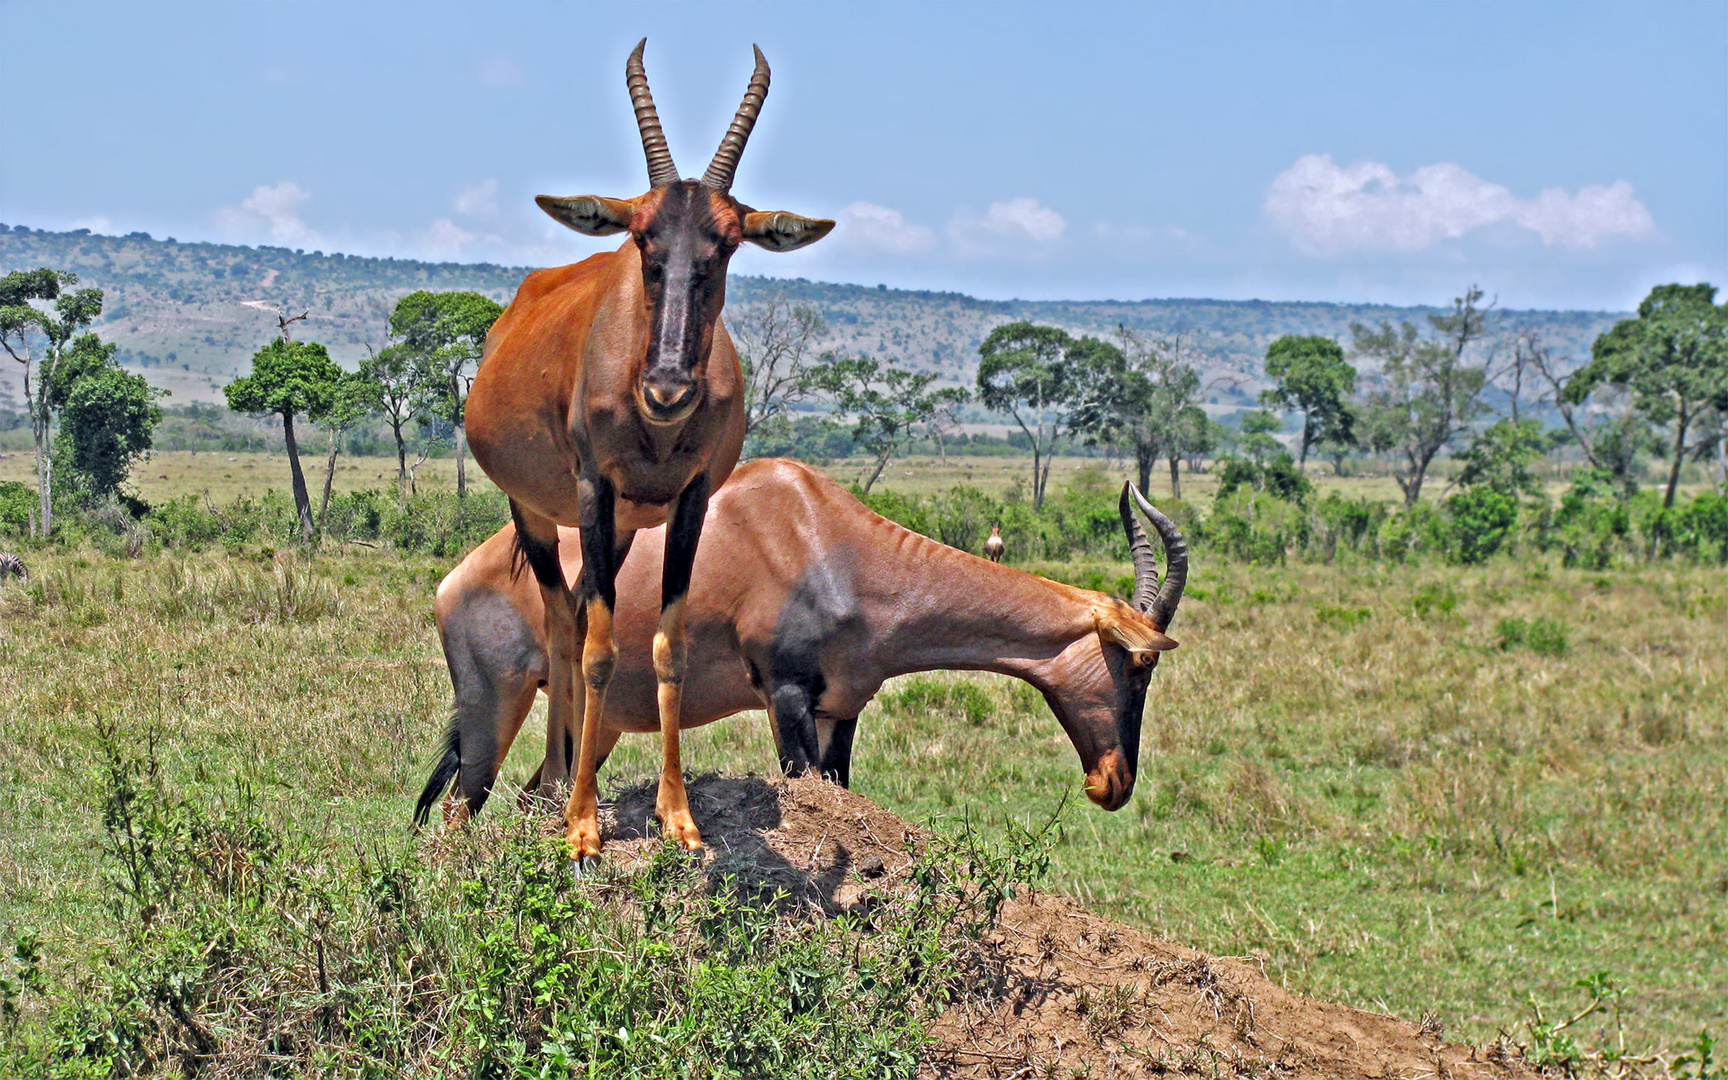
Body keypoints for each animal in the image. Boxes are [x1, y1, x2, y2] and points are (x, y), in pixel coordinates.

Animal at [414, 456, 1188, 825]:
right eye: (1139, 662)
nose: (1113, 784)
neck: (820, 531)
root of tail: (458, 576)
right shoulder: (784, 694)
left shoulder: (840, 710)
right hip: (493, 705)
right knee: (458, 809)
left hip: (584, 721)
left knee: (536, 797)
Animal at [466, 42, 829, 860]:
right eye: (642, 240)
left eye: (726, 243)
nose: (667, 388)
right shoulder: (593, 489)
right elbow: (603, 649)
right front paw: (583, 828)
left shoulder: (689, 500)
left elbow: (669, 647)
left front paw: (681, 819)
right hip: (541, 510)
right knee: (564, 624)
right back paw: (554, 788)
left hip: (629, 523)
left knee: (575, 611)